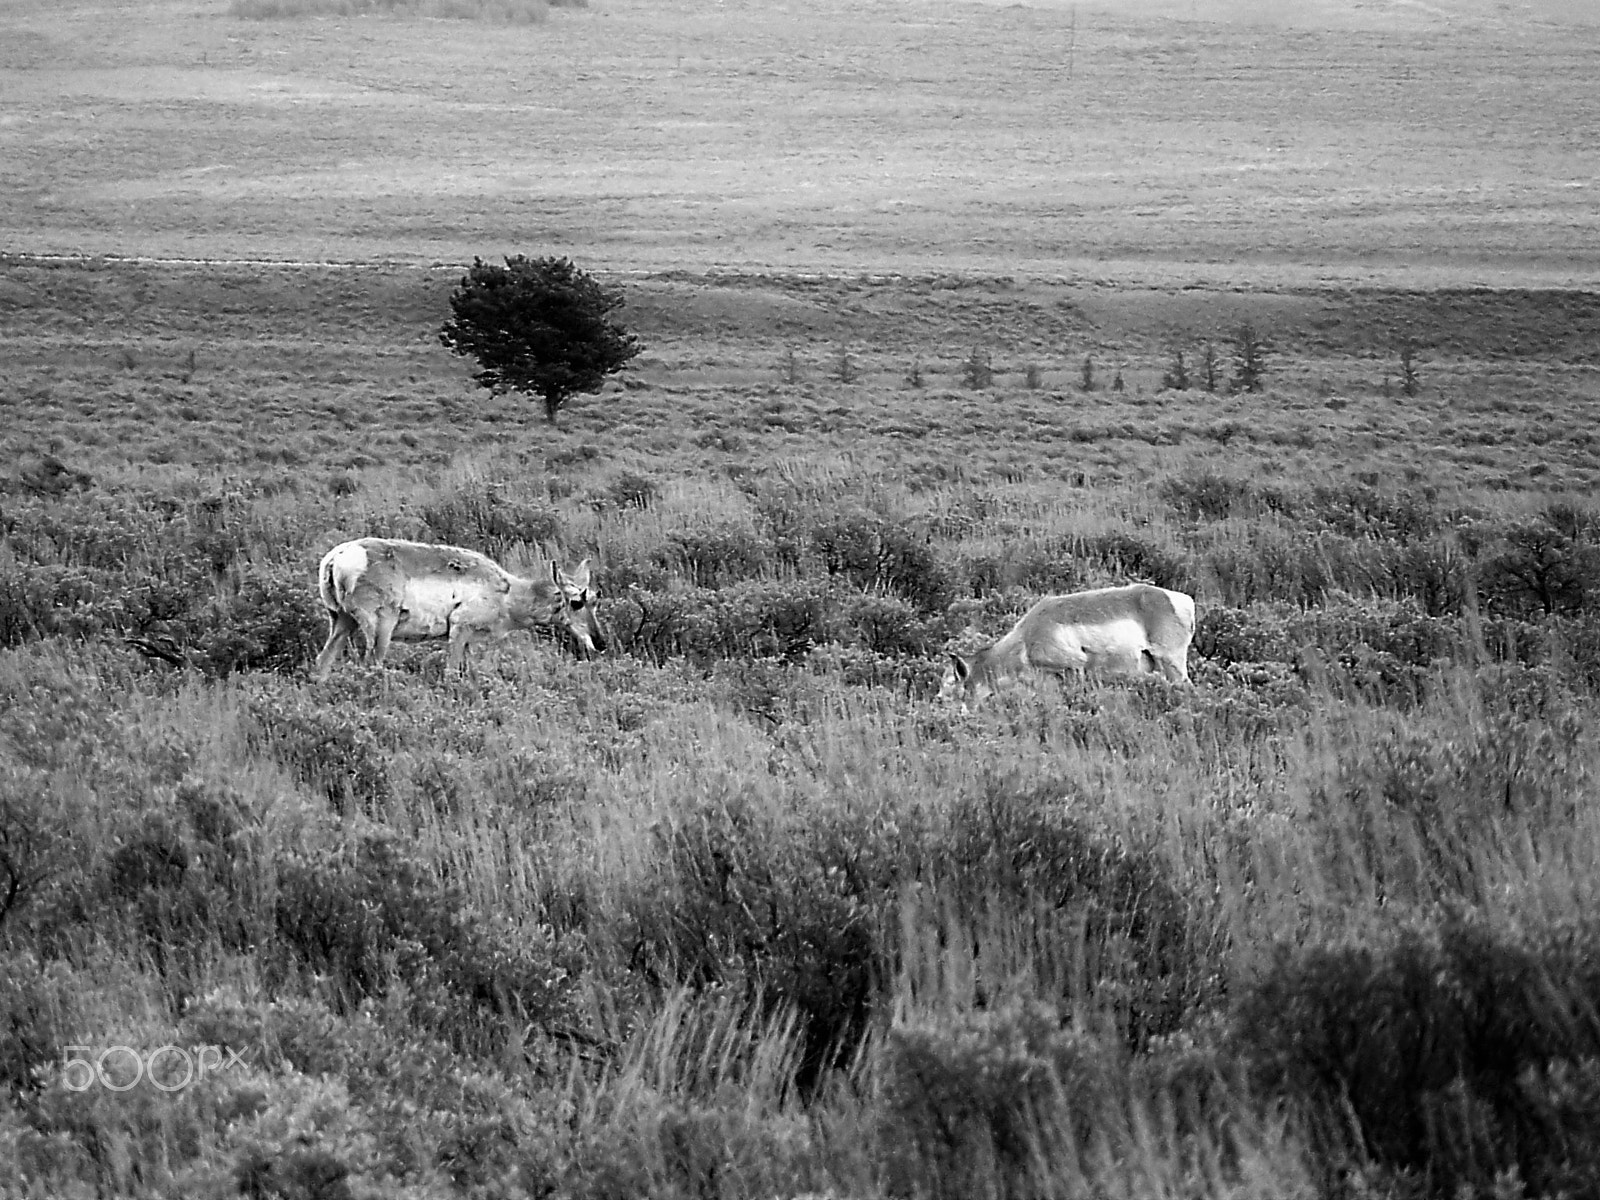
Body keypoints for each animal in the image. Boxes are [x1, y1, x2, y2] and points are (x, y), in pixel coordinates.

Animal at [313, 537, 607, 680]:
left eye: (595, 599)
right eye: (576, 602)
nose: (601, 643)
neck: (508, 592)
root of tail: (336, 558)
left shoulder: (471, 642)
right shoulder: (460, 631)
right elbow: (451, 672)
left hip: (341, 621)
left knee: (323, 661)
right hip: (380, 628)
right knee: (371, 664)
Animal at [940, 584, 1195, 705]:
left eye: (951, 681)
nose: (938, 699)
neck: (1025, 639)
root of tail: (1180, 599)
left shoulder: (1072, 670)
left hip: (1172, 663)